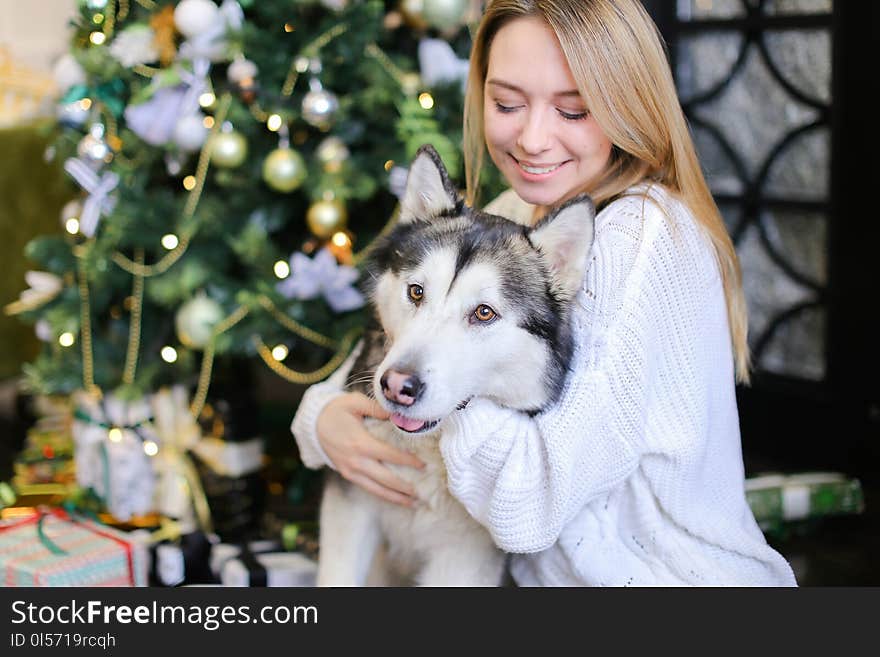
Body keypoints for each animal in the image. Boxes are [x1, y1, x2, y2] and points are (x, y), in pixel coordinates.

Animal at [312, 144, 596, 584]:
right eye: (416, 292)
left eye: (483, 313)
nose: (397, 386)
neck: (425, 453)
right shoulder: (351, 510)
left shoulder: (463, 556)